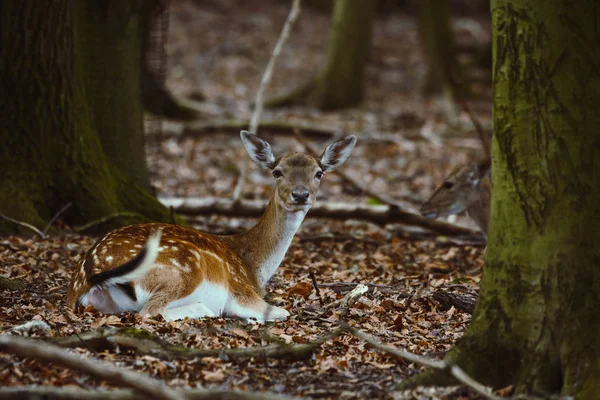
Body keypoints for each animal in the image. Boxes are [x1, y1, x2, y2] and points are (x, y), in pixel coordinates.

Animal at [67, 131, 356, 322]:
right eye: (277, 172)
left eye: (319, 173)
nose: (300, 194)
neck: (254, 266)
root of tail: (89, 274)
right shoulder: (242, 291)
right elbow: (280, 311)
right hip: (184, 267)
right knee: (148, 312)